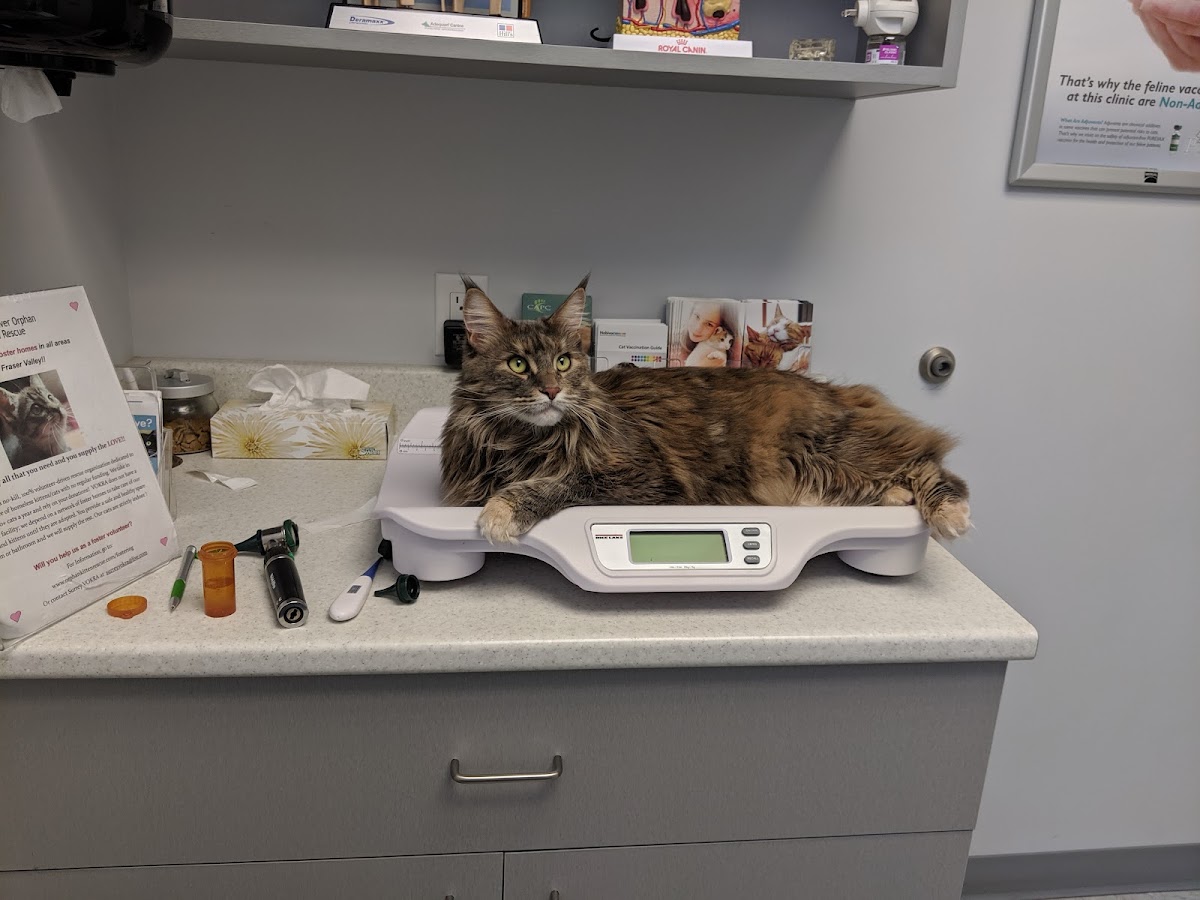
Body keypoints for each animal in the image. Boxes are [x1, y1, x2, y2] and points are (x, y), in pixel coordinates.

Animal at [440, 277, 970, 545]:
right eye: (518, 364)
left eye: (564, 362)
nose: (551, 390)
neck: (522, 443)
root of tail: (841, 393)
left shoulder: (641, 477)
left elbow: (561, 482)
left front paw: (502, 511)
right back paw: (894, 499)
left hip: (831, 449)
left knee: (932, 463)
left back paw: (948, 513)